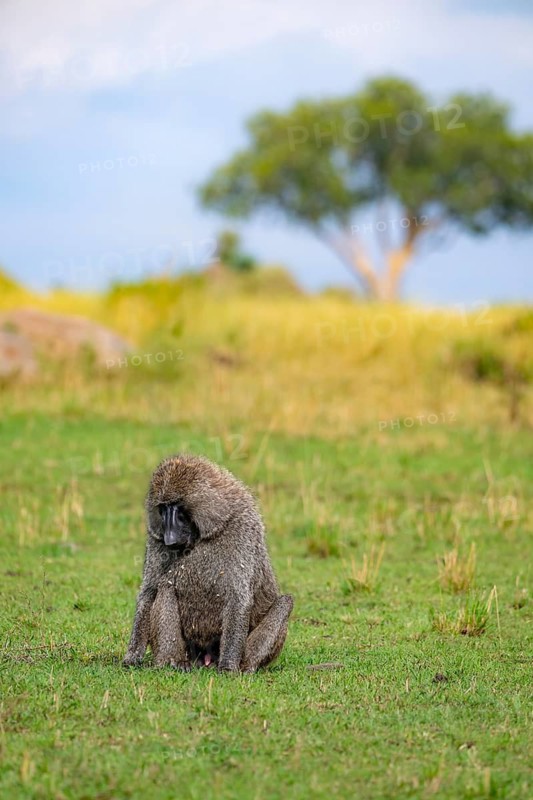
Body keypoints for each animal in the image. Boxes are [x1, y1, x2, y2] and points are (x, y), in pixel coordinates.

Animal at [123, 454, 293, 673]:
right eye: (162, 509)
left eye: (178, 509)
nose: (170, 540)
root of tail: (206, 658)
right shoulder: (155, 538)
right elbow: (149, 591)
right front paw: (132, 656)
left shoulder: (242, 529)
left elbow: (238, 597)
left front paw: (228, 667)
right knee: (166, 586)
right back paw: (171, 661)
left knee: (286, 602)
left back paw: (246, 666)